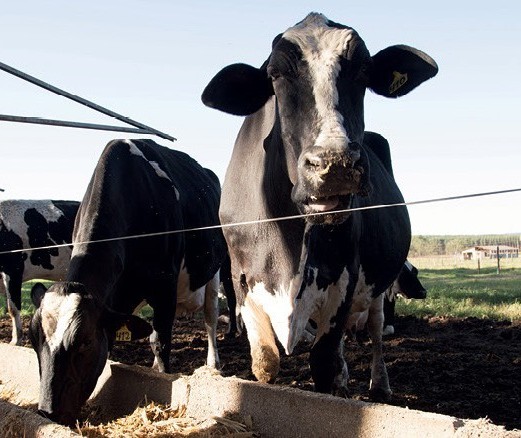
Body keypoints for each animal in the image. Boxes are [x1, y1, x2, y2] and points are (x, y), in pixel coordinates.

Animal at [26, 139, 225, 424]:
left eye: (85, 341)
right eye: (33, 339)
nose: (48, 412)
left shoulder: (164, 287)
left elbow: (160, 342)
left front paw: (162, 377)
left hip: (215, 269)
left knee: (210, 317)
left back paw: (213, 363)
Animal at [201, 12, 436, 398]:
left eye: (364, 71)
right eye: (275, 74)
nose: (335, 162)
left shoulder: (344, 277)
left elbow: (325, 363)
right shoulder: (241, 276)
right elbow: (265, 362)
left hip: (380, 284)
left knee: (375, 328)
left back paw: (378, 383)